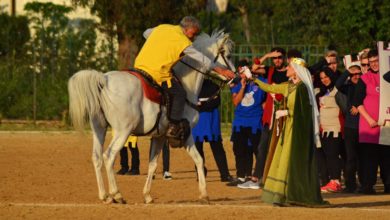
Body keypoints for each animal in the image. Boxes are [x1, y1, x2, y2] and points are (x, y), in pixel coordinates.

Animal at [67, 30, 235, 204]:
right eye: (228, 55)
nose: (234, 76)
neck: (185, 85)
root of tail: (104, 80)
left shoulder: (159, 136)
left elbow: (153, 164)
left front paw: (147, 195)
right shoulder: (186, 134)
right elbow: (199, 159)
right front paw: (204, 194)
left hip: (99, 128)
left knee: (97, 157)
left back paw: (104, 195)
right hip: (123, 131)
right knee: (109, 156)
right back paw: (116, 194)